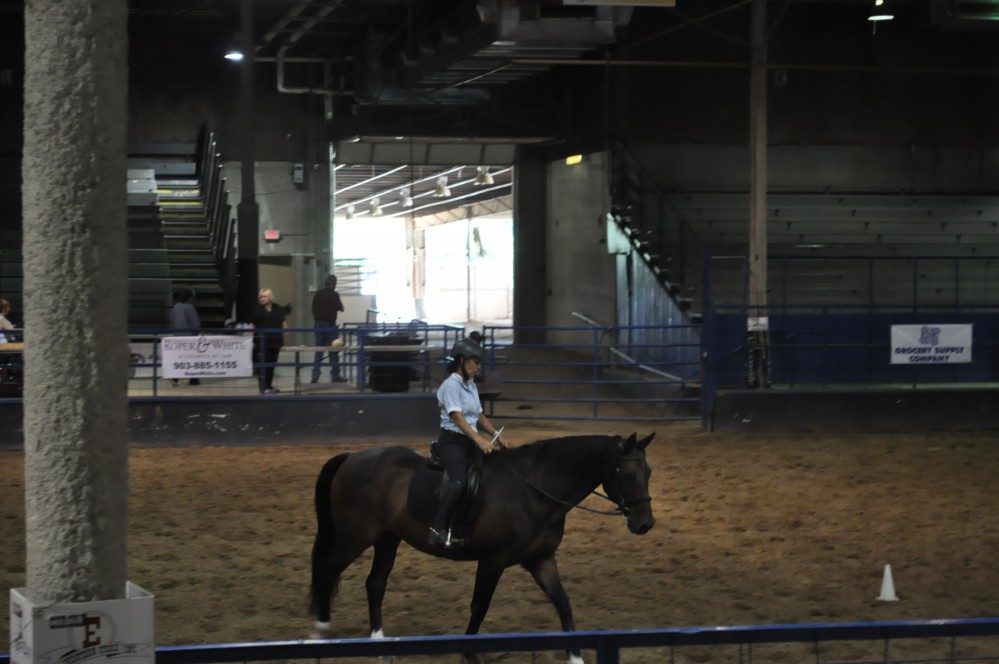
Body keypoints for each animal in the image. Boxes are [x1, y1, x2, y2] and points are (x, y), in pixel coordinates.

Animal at [310, 434, 656, 660]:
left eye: (649, 472)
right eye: (627, 473)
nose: (645, 524)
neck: (534, 489)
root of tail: (352, 457)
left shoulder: (540, 558)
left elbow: (563, 602)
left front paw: (575, 655)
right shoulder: (493, 560)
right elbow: (480, 606)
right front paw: (470, 654)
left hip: (387, 537)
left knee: (375, 583)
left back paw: (379, 641)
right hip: (356, 536)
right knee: (326, 569)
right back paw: (319, 630)